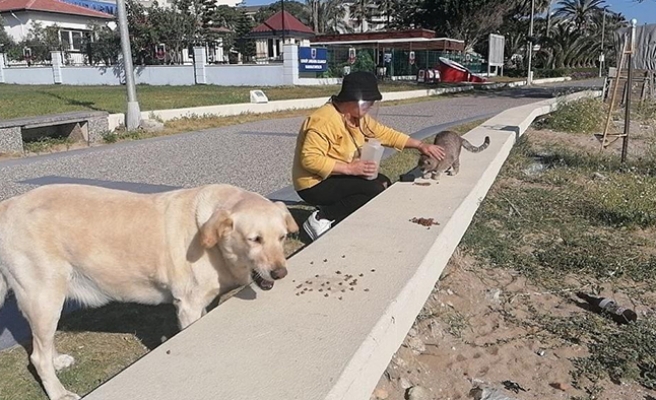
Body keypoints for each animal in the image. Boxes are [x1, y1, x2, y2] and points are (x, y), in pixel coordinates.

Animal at [0, 184, 298, 400]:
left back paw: (57, 361)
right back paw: (59, 392)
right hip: (44, 297)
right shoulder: (188, 306)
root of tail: (10, 203)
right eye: (255, 239)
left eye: (282, 236)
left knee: (43, 342)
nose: (280, 273)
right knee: (37, 356)